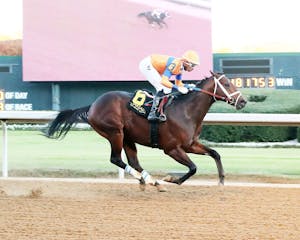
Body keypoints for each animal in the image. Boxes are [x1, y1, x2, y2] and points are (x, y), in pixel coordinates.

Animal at [45, 71, 246, 191]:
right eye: (227, 84)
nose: (242, 101)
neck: (186, 111)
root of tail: (93, 105)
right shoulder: (172, 149)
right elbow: (193, 168)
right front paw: (172, 179)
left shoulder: (190, 144)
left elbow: (215, 153)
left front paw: (221, 180)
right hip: (115, 133)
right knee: (116, 159)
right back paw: (149, 180)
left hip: (128, 137)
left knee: (133, 162)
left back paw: (151, 181)